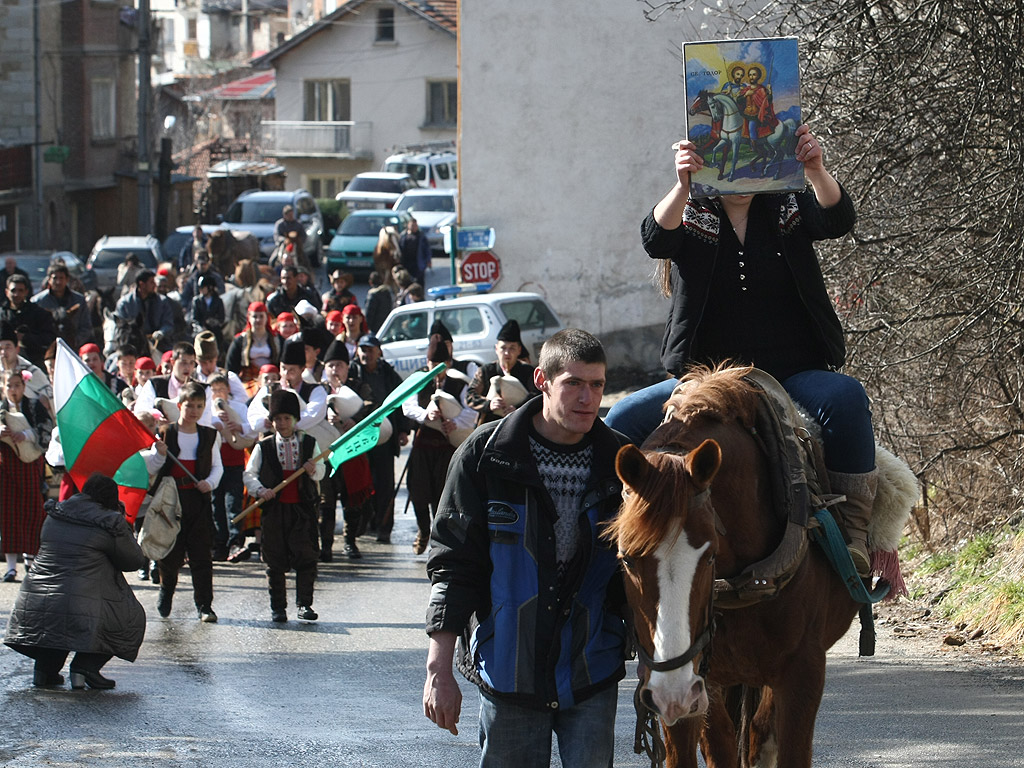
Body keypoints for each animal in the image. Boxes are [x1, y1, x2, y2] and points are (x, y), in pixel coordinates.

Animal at [606, 366, 864, 768]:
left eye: (710, 556)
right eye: (626, 558)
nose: (672, 691)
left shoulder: (803, 673)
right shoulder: (693, 683)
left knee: (760, 733)